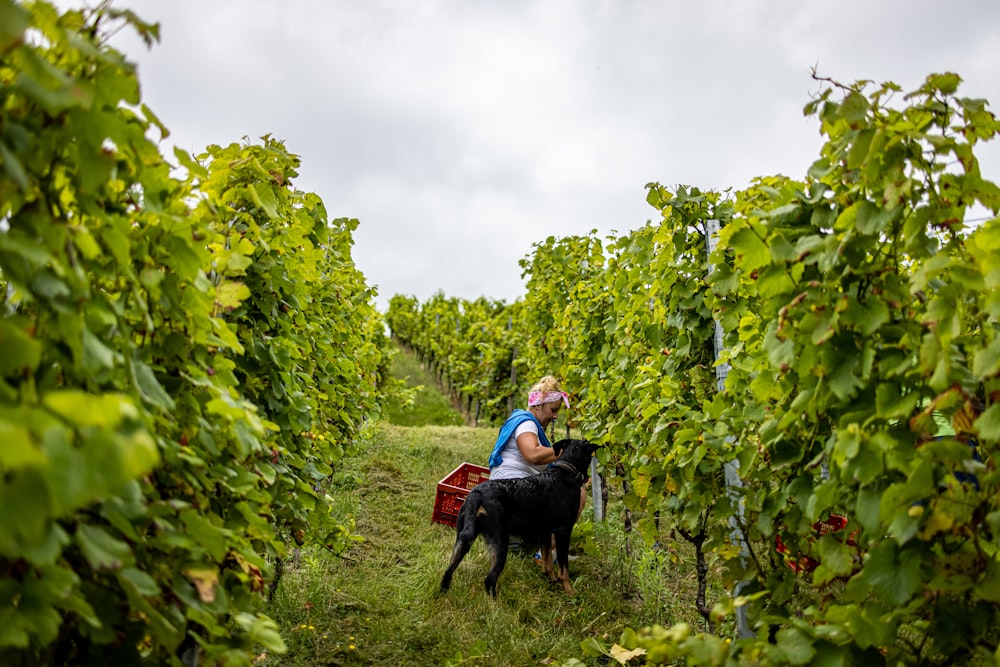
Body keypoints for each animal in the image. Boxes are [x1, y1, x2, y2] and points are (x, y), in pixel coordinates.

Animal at [436, 440, 592, 596]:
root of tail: (477, 494)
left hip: (462, 540)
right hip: (499, 542)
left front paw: (551, 580)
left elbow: (547, 562)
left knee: (448, 572)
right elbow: (563, 568)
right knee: (490, 580)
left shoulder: (545, 533)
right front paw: (570, 591)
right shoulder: (563, 531)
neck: (564, 473)